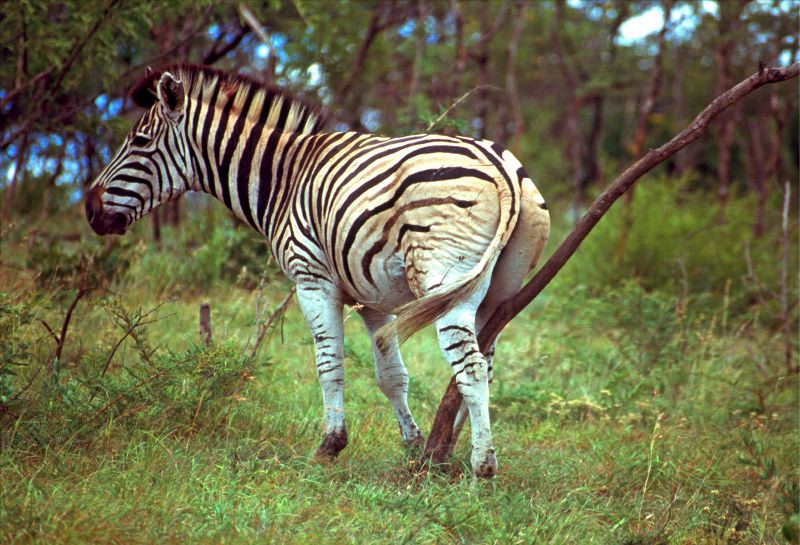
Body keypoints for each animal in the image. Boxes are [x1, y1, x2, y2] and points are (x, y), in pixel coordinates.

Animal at [85, 65, 550, 478]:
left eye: (140, 141)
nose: (89, 211)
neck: (284, 179)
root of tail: (501, 169)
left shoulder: (312, 280)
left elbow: (329, 365)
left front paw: (330, 445)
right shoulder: (371, 296)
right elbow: (391, 376)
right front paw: (414, 447)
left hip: (446, 280)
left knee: (470, 368)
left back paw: (481, 466)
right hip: (495, 292)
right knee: (484, 365)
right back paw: (450, 448)